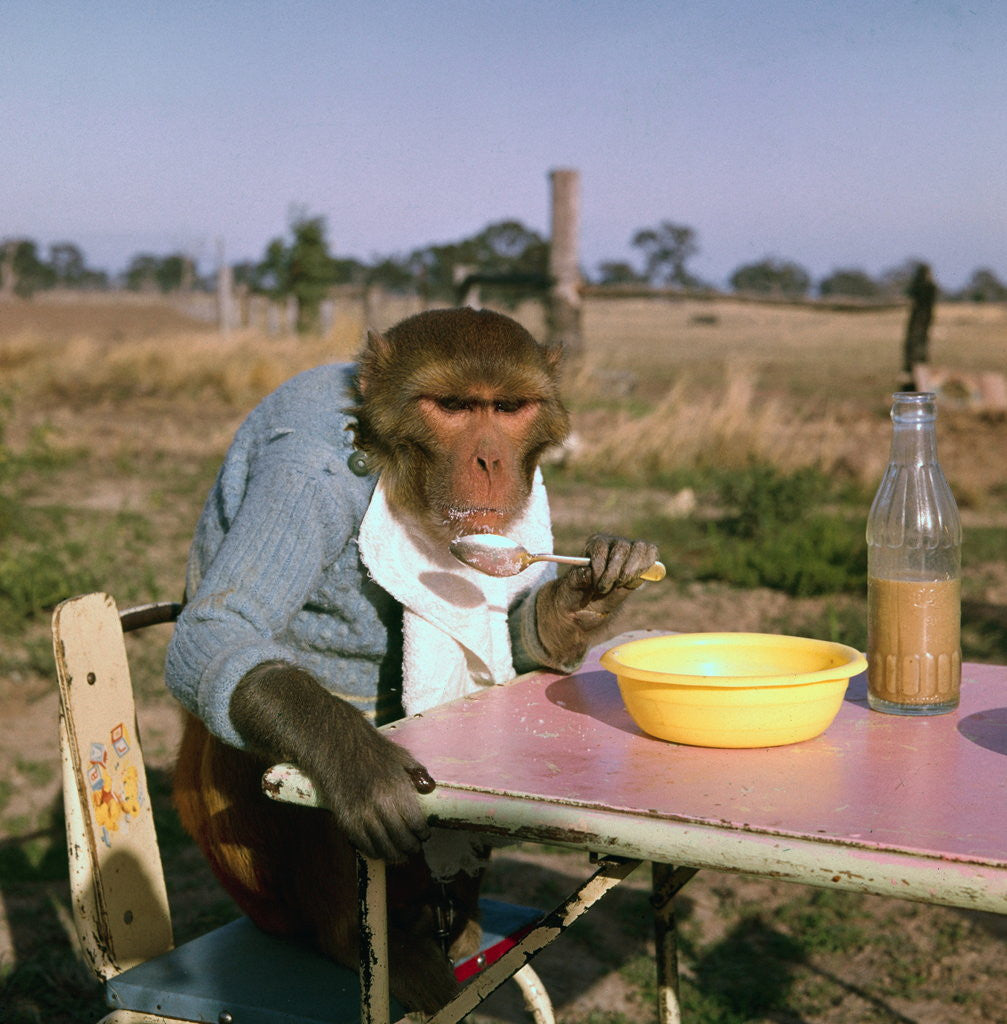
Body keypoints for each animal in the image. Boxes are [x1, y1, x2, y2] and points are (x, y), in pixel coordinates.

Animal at [166, 307, 659, 1012]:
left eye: (507, 407)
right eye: (452, 407)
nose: (488, 459)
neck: (393, 465)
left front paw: (588, 592)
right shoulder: (303, 469)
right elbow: (220, 632)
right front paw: (361, 765)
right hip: (262, 895)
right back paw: (362, 942)